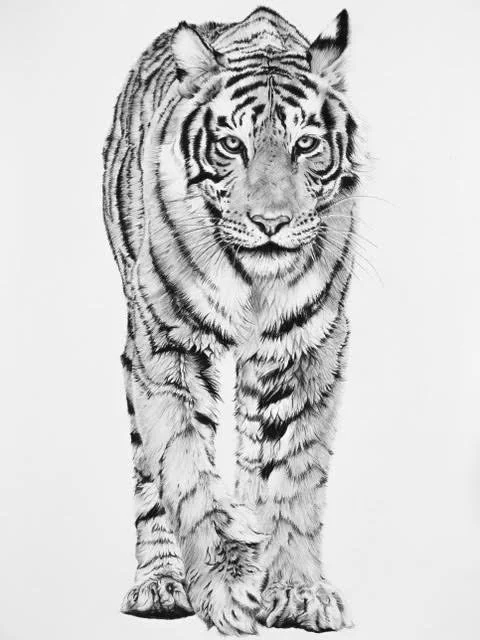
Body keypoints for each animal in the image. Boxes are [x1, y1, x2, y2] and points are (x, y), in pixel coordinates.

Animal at [103, 5, 361, 635]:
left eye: (306, 144)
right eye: (230, 145)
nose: (271, 222)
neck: (254, 284)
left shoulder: (305, 351)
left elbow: (294, 472)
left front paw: (297, 591)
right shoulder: (165, 348)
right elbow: (185, 469)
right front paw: (222, 589)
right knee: (148, 474)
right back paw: (161, 585)